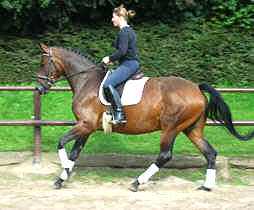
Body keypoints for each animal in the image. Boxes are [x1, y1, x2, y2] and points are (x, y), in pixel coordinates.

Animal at [35, 44, 254, 192]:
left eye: (43, 63)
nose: (38, 88)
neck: (86, 80)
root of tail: (196, 88)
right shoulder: (87, 127)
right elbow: (75, 152)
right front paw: (61, 179)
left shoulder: (85, 124)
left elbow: (62, 143)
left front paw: (64, 171)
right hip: (192, 129)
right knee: (210, 153)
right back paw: (206, 186)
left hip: (171, 128)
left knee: (165, 155)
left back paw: (137, 182)